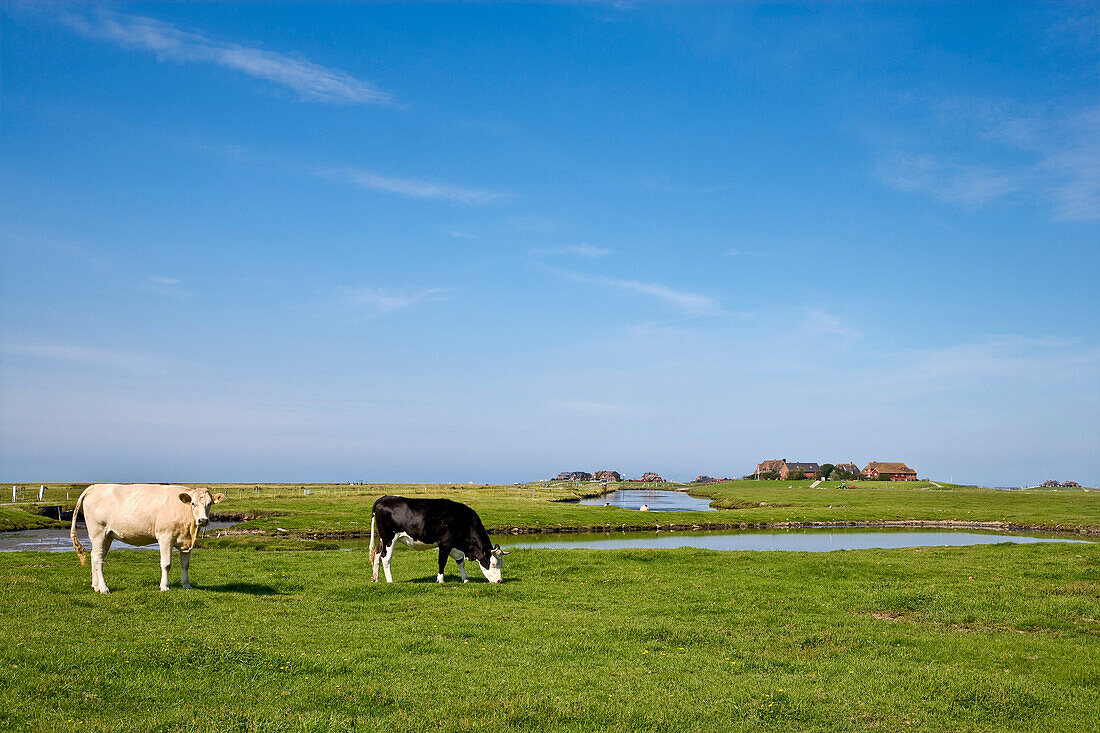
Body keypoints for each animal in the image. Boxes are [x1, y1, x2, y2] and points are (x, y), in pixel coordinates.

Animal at [69, 482, 225, 589]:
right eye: (193, 503)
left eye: (210, 503)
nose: (203, 520)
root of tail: (94, 487)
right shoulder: (165, 538)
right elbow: (166, 564)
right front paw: (164, 586)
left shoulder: (185, 542)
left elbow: (185, 565)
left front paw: (186, 585)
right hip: (98, 532)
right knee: (98, 558)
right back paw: (104, 588)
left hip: (107, 536)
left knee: (94, 556)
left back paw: (95, 586)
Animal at [367, 497, 508, 581]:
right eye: (493, 564)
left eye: (501, 564)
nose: (499, 581)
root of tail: (385, 498)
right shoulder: (445, 543)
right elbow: (442, 562)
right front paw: (440, 580)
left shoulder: (455, 545)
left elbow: (460, 561)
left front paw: (465, 579)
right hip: (389, 538)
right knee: (386, 558)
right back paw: (390, 581)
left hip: (382, 539)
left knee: (377, 555)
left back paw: (376, 578)